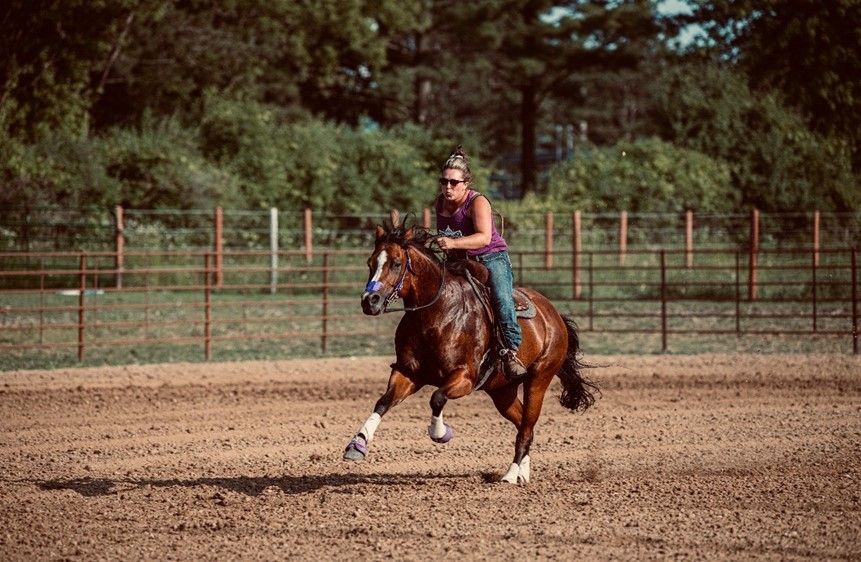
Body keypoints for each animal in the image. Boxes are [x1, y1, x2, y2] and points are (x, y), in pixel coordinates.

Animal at [343, 223, 597, 484]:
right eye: (370, 262)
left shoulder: (465, 378)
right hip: (502, 391)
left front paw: (440, 433)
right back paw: (522, 473)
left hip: (539, 379)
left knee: (527, 426)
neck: (438, 313)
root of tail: (555, 315)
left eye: (396, 263)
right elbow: (383, 402)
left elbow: (437, 398)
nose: (370, 301)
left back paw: (510, 474)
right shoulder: (408, 373)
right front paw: (357, 445)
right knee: (523, 423)